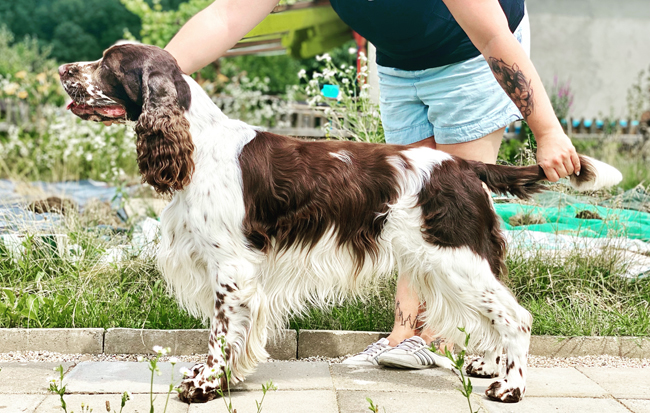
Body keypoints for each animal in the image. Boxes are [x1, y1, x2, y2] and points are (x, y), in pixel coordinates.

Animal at [59, 44, 622, 404]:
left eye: (107, 63)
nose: (63, 69)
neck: (197, 144)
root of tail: (462, 166)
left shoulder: (232, 269)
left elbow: (220, 333)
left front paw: (205, 386)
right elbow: (231, 335)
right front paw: (219, 378)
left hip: (456, 258)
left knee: (516, 317)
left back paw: (510, 386)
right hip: (443, 264)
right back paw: (489, 365)